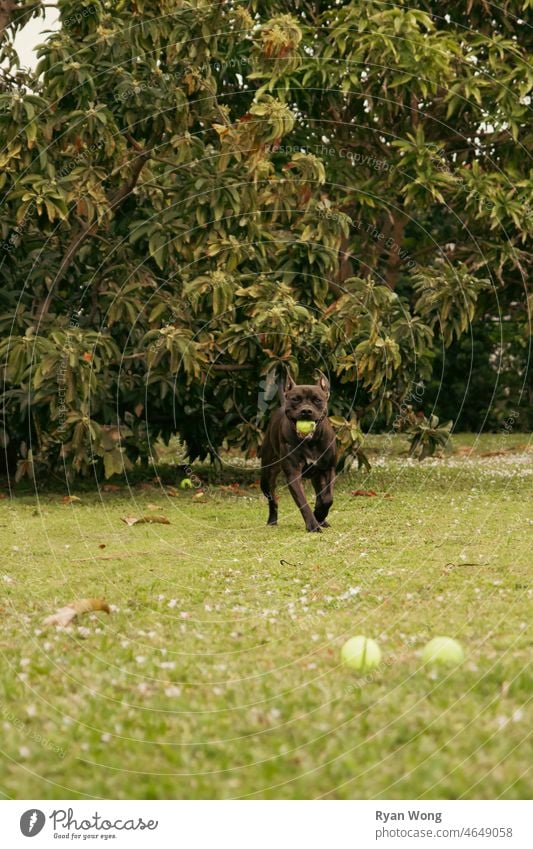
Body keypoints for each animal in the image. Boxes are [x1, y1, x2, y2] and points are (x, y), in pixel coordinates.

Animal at [260, 372, 334, 528]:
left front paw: (319, 514)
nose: (306, 410)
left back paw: (322, 519)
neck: (310, 442)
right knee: (272, 500)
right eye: (295, 399)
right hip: (267, 475)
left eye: (317, 400)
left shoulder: (328, 469)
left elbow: (327, 498)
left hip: (317, 476)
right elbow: (303, 502)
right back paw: (272, 520)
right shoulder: (293, 473)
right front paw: (313, 525)